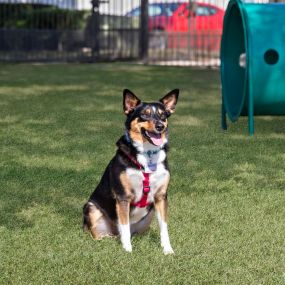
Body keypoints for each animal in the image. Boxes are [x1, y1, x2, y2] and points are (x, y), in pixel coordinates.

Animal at [82, 88, 179, 253]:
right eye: (145, 114)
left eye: (163, 115)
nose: (160, 126)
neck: (147, 156)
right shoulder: (123, 197)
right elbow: (125, 226)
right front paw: (127, 250)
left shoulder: (161, 196)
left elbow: (164, 227)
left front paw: (167, 250)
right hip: (90, 208)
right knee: (100, 234)